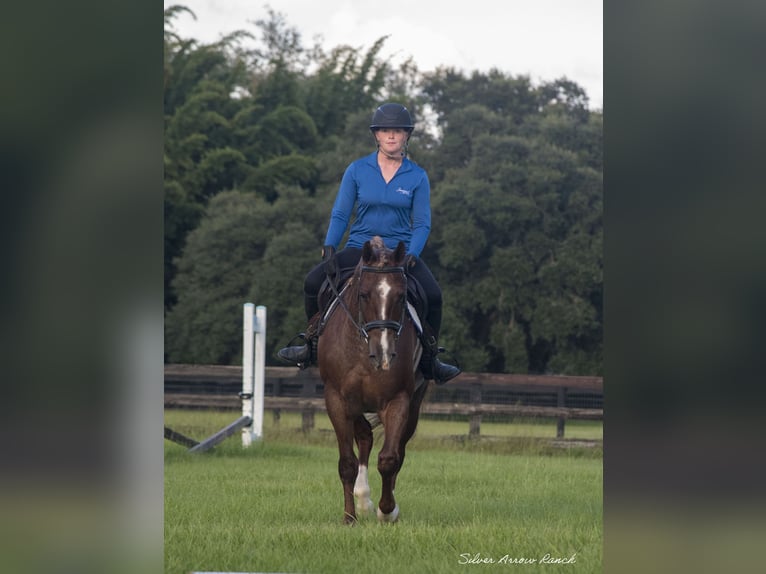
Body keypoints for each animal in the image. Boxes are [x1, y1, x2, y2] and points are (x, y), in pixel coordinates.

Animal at [316, 235, 428, 528]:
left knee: (397, 449)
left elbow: (389, 459)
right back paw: (362, 497)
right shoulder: (337, 399)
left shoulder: (398, 400)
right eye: (364, 294)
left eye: (401, 296)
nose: (384, 354)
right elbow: (347, 462)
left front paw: (387, 511)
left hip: (412, 405)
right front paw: (349, 517)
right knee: (364, 438)